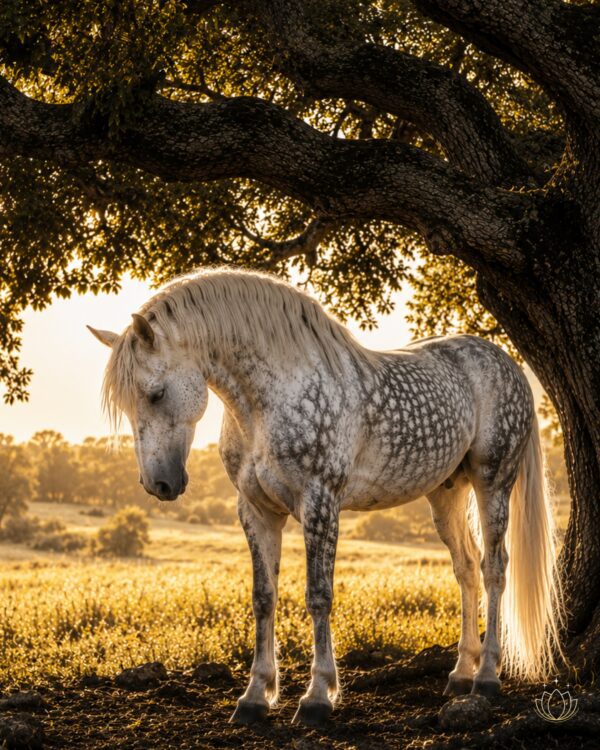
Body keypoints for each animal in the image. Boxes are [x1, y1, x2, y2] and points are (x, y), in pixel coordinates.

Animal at [88, 267, 564, 726]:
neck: (268, 402)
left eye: (155, 393)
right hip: (445, 494)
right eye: (129, 405)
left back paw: (486, 677)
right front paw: (255, 697)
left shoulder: (320, 504)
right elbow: (263, 598)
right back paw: (461, 674)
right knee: (465, 568)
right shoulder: (256, 511)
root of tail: (505, 361)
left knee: (494, 569)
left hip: (492, 482)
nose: (160, 484)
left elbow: (318, 595)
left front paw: (317, 697)